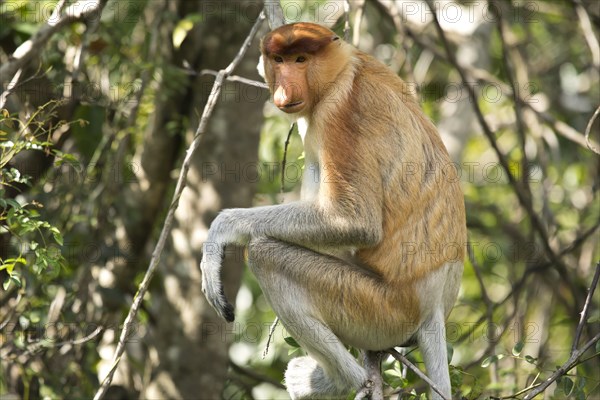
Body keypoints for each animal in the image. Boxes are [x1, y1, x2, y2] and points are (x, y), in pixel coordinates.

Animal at [199, 22, 466, 400]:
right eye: (279, 60)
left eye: (301, 59)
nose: (284, 89)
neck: (343, 71)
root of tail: (434, 305)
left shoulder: (340, 115)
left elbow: (352, 220)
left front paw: (220, 232)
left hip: (382, 311)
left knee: (266, 253)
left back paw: (343, 381)